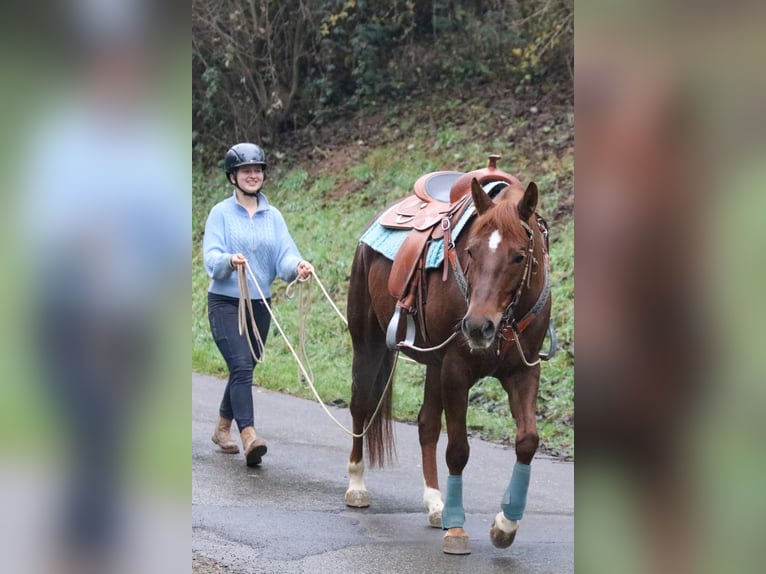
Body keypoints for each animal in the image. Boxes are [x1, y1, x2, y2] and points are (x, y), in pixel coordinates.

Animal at [343, 174, 552, 555]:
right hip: (367, 342)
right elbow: (457, 450)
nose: (477, 327)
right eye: (471, 251)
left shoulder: (524, 370)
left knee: (426, 424)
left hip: (434, 364)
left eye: (519, 256)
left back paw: (435, 502)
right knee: (361, 407)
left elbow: (528, 440)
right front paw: (456, 528)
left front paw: (506, 524)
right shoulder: (456, 371)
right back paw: (357, 485)